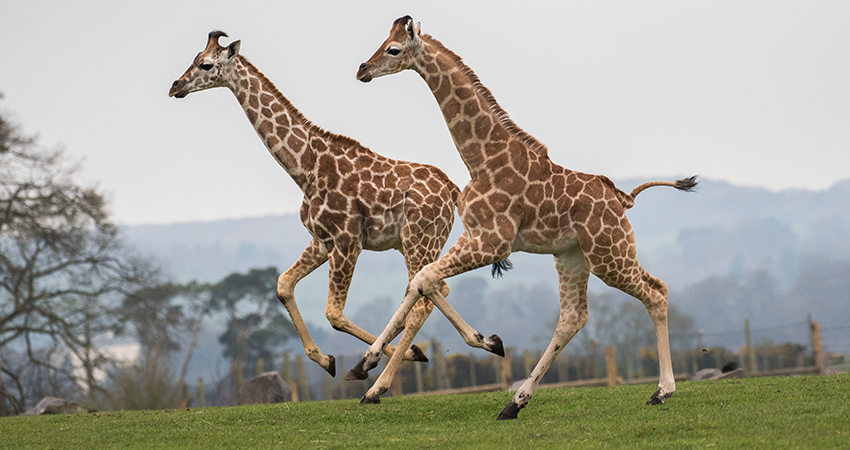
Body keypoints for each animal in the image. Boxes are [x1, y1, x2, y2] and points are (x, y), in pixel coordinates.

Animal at [167, 31, 458, 384]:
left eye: (206, 64)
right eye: (195, 58)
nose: (175, 86)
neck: (305, 168)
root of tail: (452, 190)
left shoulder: (347, 241)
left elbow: (334, 313)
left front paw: (368, 360)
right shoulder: (321, 241)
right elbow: (283, 284)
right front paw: (325, 359)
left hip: (419, 241)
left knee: (422, 300)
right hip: (412, 244)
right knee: (436, 289)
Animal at [344, 15, 696, 420]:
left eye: (393, 49)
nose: (362, 70)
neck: (482, 159)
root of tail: (624, 200)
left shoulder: (493, 241)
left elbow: (425, 279)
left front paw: (487, 342)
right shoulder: (473, 235)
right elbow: (421, 281)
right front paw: (364, 365)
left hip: (609, 254)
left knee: (656, 292)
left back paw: (662, 391)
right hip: (572, 255)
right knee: (573, 317)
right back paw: (515, 402)